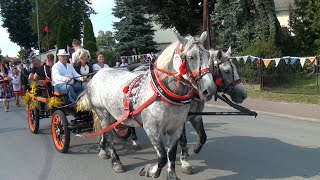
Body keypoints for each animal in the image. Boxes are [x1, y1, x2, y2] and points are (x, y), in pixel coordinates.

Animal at [76, 31, 216, 179]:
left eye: (208, 56)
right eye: (191, 57)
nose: (210, 90)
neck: (162, 92)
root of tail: (97, 74)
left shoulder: (176, 128)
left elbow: (171, 154)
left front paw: (172, 175)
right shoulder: (152, 129)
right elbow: (162, 157)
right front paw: (150, 170)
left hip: (113, 114)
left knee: (105, 132)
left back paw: (103, 150)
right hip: (102, 112)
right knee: (109, 136)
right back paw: (116, 162)